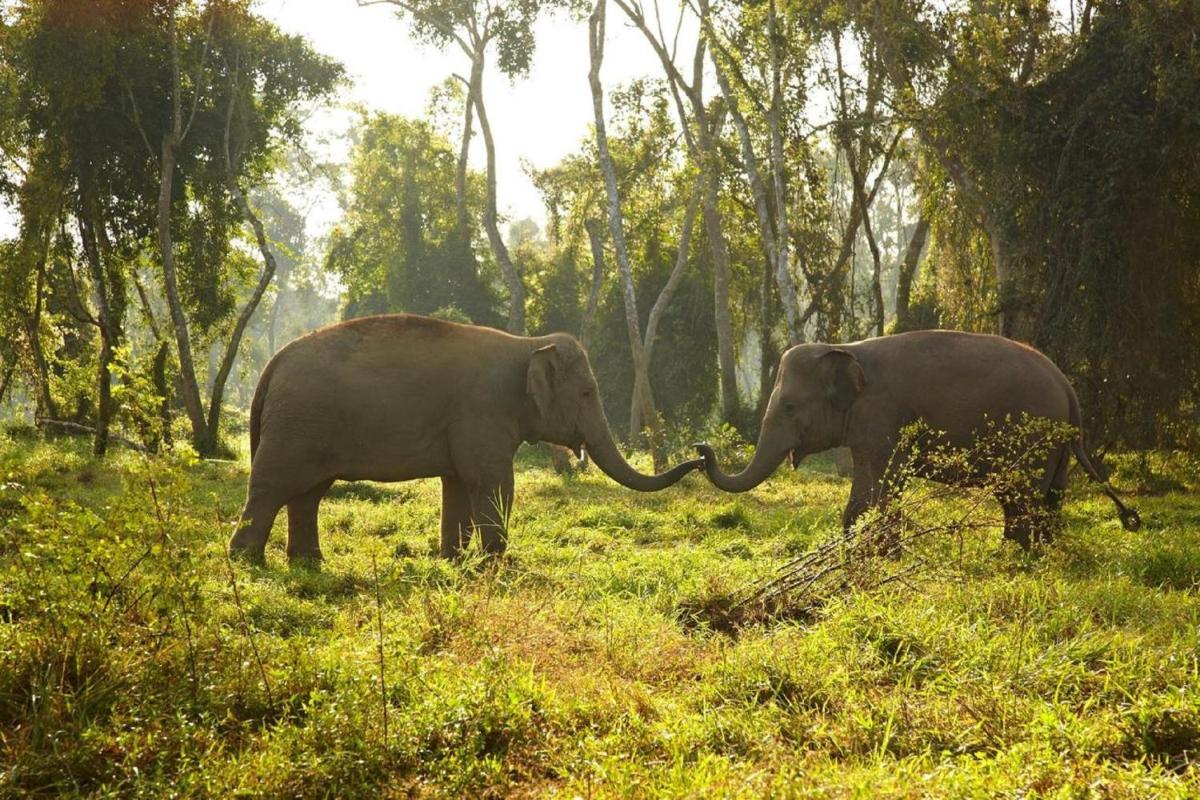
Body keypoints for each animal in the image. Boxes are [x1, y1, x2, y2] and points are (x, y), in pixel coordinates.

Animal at [229, 314, 702, 563]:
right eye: (587, 392)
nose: (702, 454)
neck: (527, 344)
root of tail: (271, 366)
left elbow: (457, 484)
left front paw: (452, 561)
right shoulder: (483, 412)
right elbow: (492, 482)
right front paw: (495, 563)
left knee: (307, 493)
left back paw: (308, 563)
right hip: (296, 426)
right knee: (272, 487)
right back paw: (247, 562)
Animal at [695, 330, 1140, 549]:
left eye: (788, 407)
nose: (701, 449)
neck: (845, 348)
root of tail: (1066, 386)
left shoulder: (881, 414)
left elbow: (876, 485)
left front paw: (872, 553)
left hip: (1032, 437)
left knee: (1020, 496)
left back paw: (1015, 554)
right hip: (1055, 445)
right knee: (1048, 497)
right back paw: (1035, 553)